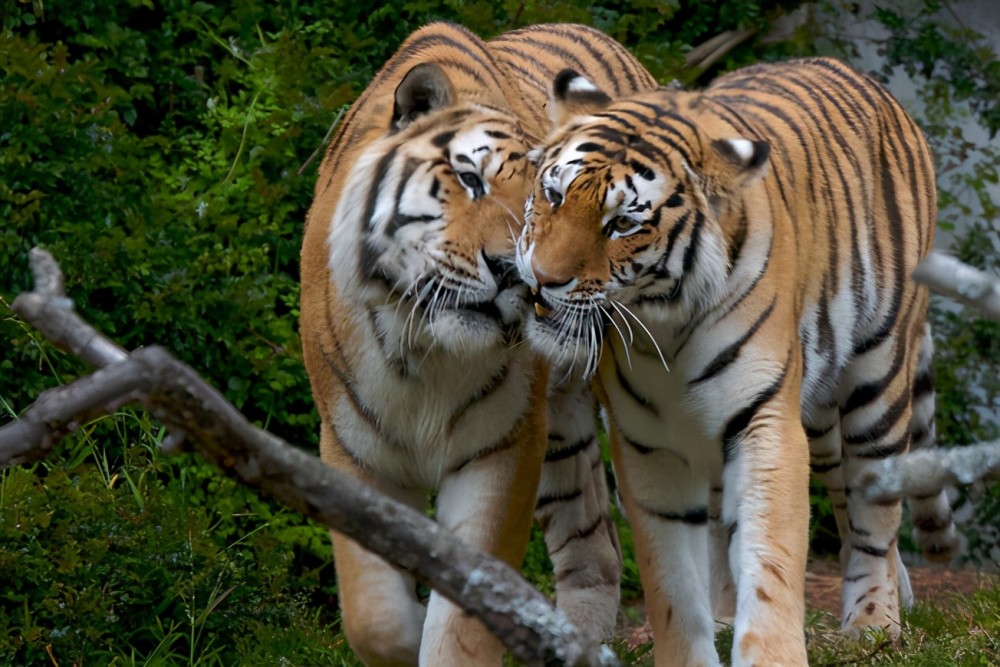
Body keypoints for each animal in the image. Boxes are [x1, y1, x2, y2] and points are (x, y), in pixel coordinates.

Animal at [296, 22, 656, 667]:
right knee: (594, 544)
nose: (516, 272)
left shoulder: (503, 450)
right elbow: (373, 616)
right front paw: (407, 625)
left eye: (548, 199)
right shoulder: (353, 449)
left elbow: (462, 626)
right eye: (470, 179)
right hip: (562, 434)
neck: (423, 350)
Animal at [516, 58, 960, 667]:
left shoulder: (765, 422)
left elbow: (770, 561)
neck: (665, 325)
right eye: (553, 194)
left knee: (875, 512)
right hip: (813, 416)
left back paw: (873, 622)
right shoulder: (648, 444)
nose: (542, 280)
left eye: (623, 225)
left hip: (877, 381)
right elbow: (673, 582)